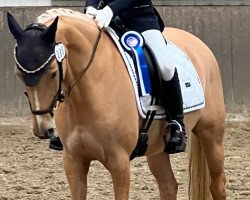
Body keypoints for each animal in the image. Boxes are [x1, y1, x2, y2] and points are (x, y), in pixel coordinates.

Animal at [7, 8, 227, 200]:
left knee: (218, 185)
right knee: (169, 186)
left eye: (53, 72)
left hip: (211, 134)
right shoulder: (73, 161)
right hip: (157, 147)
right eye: (18, 74)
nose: (43, 128)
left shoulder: (119, 162)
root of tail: (198, 42)